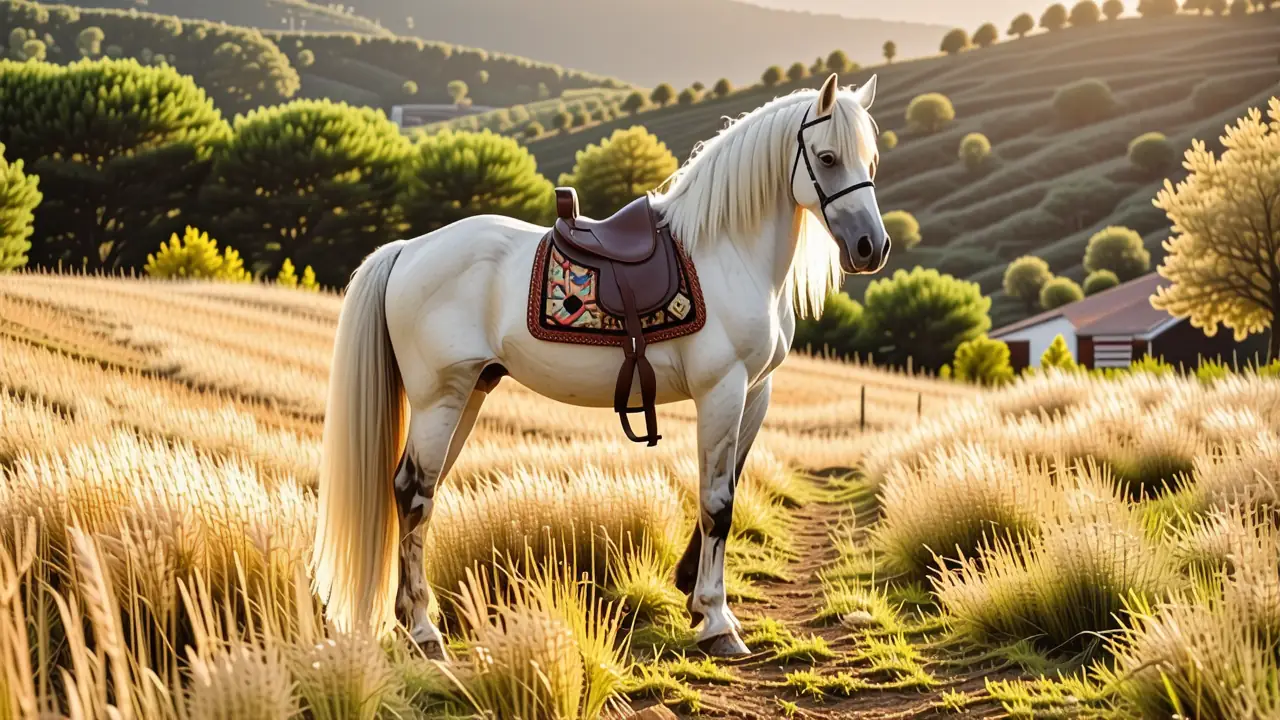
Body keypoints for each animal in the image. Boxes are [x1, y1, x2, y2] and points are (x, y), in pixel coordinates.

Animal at [310, 72, 890, 658]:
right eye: (827, 157)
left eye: (872, 159)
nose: (872, 247)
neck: (726, 252)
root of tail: (408, 250)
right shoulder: (722, 389)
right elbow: (717, 502)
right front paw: (717, 621)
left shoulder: (754, 393)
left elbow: (726, 488)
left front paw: (693, 596)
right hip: (438, 399)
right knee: (414, 494)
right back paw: (423, 631)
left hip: (468, 393)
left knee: (416, 491)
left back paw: (411, 620)